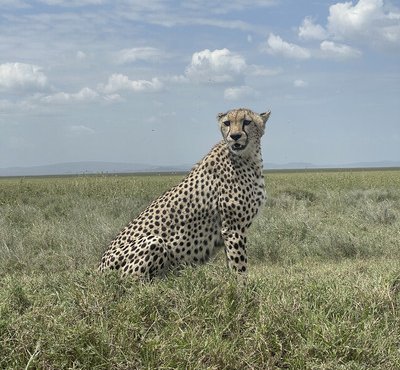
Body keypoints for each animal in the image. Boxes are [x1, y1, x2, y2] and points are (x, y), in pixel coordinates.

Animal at [98, 107, 270, 278]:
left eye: (247, 121)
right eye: (227, 123)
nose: (235, 136)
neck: (250, 157)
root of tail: (98, 268)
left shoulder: (229, 231)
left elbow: (232, 263)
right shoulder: (233, 229)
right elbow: (239, 267)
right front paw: (241, 285)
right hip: (154, 242)